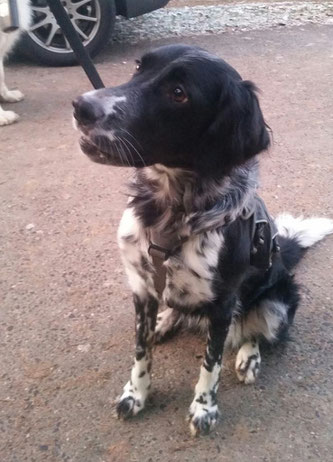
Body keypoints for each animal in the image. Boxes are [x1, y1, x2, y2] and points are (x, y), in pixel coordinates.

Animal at [73, 45, 332, 434]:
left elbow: (211, 362)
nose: (81, 106)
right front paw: (136, 394)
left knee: (256, 331)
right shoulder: (141, 288)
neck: (170, 207)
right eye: (139, 67)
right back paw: (166, 321)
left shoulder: (223, 302)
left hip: (278, 302)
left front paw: (204, 408)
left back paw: (249, 358)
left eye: (179, 93)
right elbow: (140, 352)